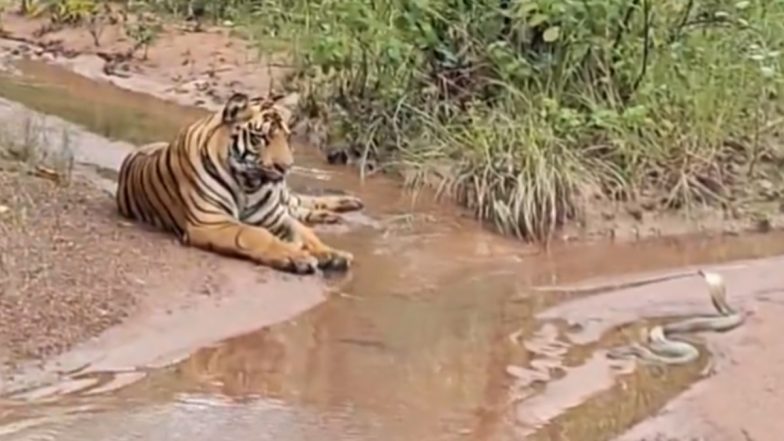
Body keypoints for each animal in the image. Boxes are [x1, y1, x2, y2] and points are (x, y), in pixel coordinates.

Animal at [115, 91, 364, 274]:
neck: (249, 184)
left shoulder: (275, 216)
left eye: (288, 137)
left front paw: (333, 254)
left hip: (286, 199)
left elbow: (306, 233)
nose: (286, 167)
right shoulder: (211, 221)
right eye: (262, 138)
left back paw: (350, 203)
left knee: (300, 203)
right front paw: (297, 257)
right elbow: (255, 234)